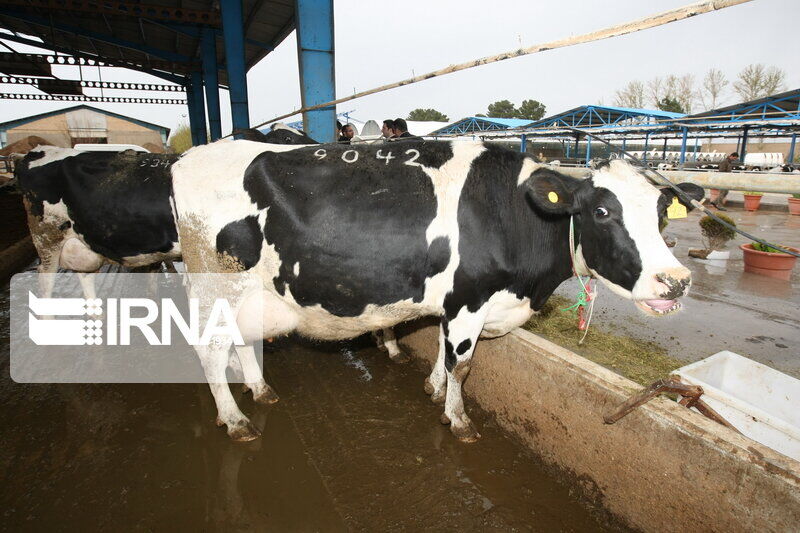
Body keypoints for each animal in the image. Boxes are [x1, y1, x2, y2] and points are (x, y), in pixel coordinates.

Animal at [172, 138, 704, 440]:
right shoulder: (469, 297)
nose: (675, 281)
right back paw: (236, 420)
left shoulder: (457, 304)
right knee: (210, 351)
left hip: (248, 291)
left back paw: (261, 392)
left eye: (662, 214)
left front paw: (433, 389)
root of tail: (186, 158)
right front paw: (459, 420)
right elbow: (462, 365)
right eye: (602, 211)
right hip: (215, 282)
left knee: (240, 340)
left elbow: (445, 353)